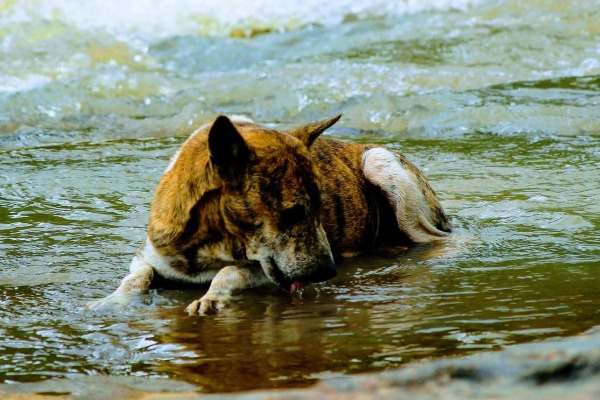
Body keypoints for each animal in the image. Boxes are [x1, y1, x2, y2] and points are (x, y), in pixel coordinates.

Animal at [89, 115, 450, 316]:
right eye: (293, 212)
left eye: (322, 206)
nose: (330, 272)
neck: (210, 242)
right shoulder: (151, 255)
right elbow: (136, 277)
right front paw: (112, 301)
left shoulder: (263, 269)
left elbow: (230, 272)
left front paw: (212, 298)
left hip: (382, 166)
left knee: (437, 238)